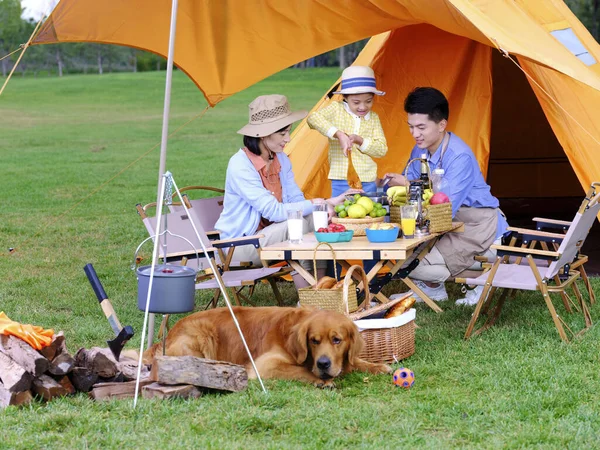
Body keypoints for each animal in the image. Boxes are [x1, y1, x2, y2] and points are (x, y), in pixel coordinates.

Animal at [143, 306, 392, 386]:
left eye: (337, 340)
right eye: (314, 340)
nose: (323, 363)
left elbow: (355, 361)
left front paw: (378, 366)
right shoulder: (265, 365)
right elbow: (301, 370)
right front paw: (322, 381)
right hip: (202, 334)